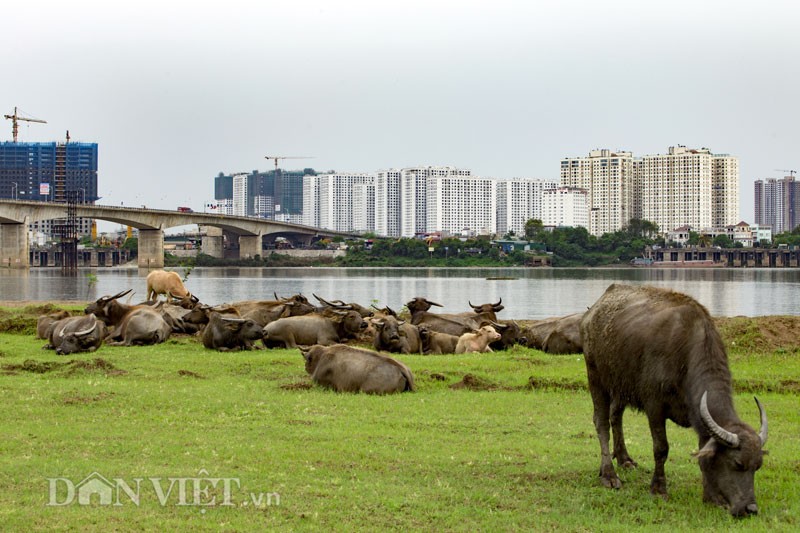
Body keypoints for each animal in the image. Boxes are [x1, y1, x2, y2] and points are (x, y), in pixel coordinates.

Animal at [580, 284, 768, 516]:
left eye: (757, 466)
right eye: (737, 463)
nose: (751, 508)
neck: (685, 353)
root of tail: (594, 310)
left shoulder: (699, 417)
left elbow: (703, 452)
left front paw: (711, 497)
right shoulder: (654, 406)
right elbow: (661, 448)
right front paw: (658, 489)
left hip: (621, 385)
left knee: (616, 417)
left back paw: (624, 459)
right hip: (596, 377)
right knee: (602, 423)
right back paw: (609, 474)